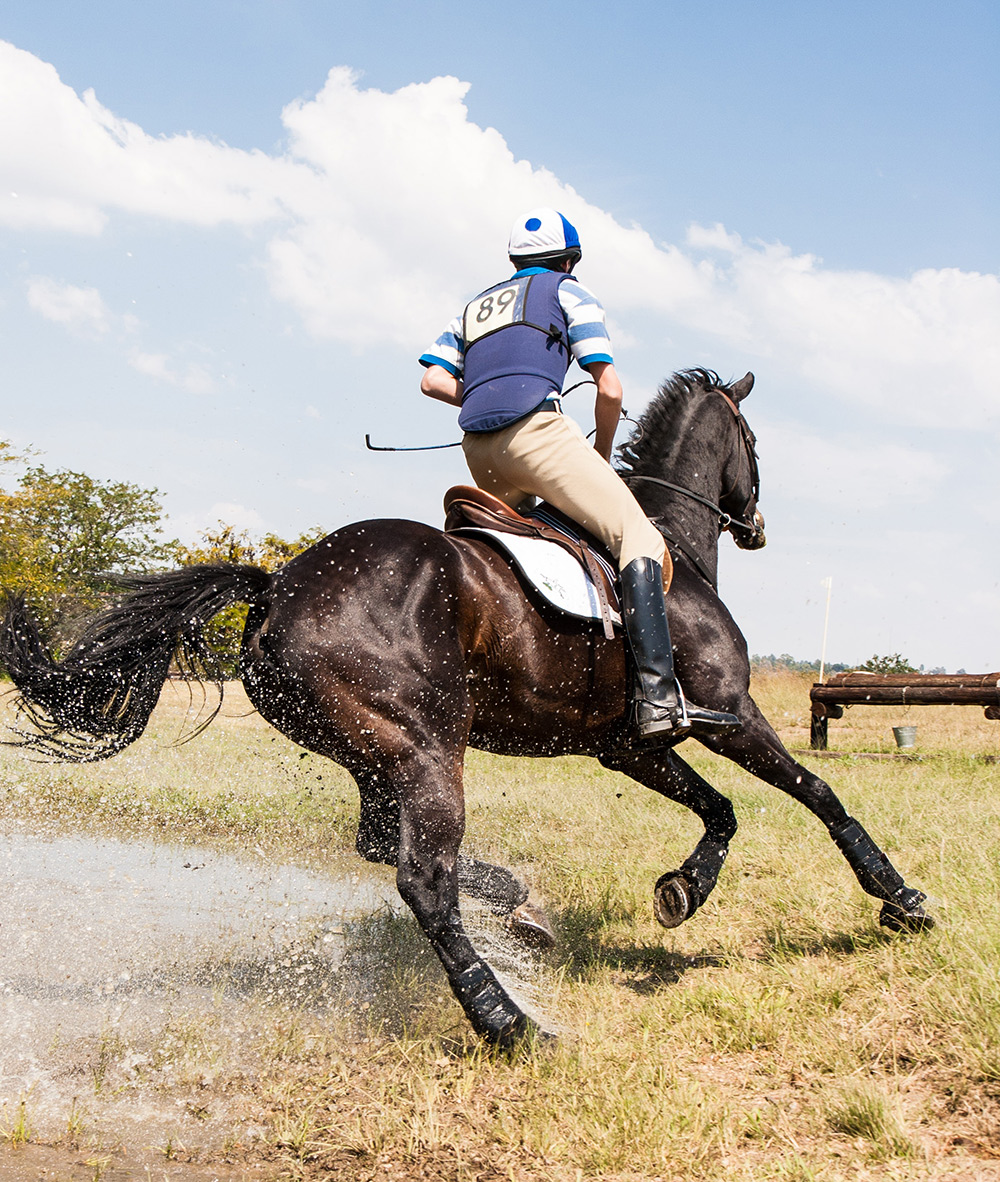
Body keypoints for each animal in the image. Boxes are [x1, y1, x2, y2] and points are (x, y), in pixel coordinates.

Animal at [0, 366, 931, 1044]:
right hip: (424, 749)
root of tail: (279, 588)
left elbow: (721, 809)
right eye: (752, 443)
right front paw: (899, 898)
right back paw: (508, 1020)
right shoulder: (729, 711)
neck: (668, 542)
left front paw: (682, 890)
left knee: (385, 845)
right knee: (422, 878)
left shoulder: (628, 744)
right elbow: (817, 794)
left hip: (374, 749)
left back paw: (519, 909)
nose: (758, 523)